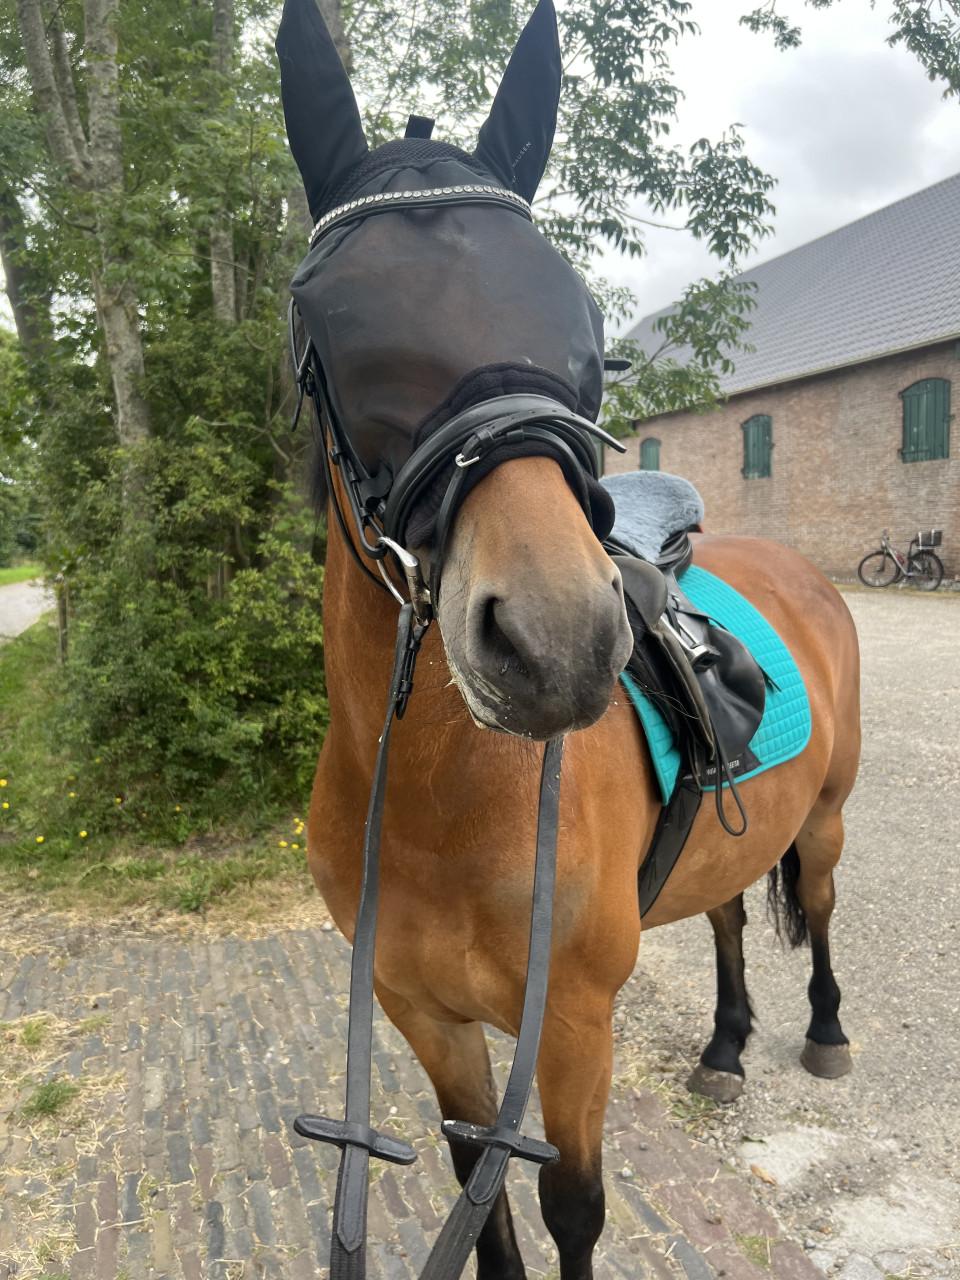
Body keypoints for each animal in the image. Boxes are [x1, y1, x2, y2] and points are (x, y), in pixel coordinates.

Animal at [276, 2, 860, 1277]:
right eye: (333, 319)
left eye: (585, 322)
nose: (552, 641)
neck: (443, 804)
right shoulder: (428, 1021)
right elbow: (477, 1200)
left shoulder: (575, 1028)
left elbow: (573, 1209)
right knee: (730, 910)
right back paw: (726, 1043)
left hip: (831, 814)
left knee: (823, 904)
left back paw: (824, 1029)